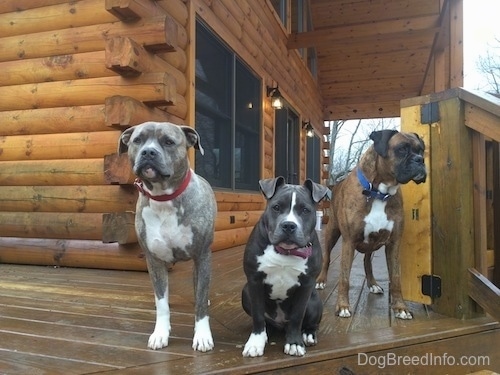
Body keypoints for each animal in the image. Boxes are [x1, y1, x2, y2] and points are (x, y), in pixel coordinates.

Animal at [120, 121, 218, 352]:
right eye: (138, 140)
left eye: (168, 142)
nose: (148, 152)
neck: (164, 198)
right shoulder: (154, 260)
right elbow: (161, 303)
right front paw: (160, 334)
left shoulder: (202, 256)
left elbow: (201, 300)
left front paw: (202, 335)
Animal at [316, 129, 426, 320]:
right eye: (402, 149)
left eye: (421, 150)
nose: (420, 160)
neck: (378, 193)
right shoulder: (348, 242)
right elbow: (344, 278)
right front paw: (342, 306)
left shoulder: (393, 244)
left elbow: (396, 278)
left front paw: (400, 308)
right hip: (332, 233)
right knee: (327, 258)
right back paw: (321, 280)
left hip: (373, 243)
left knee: (367, 261)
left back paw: (373, 283)